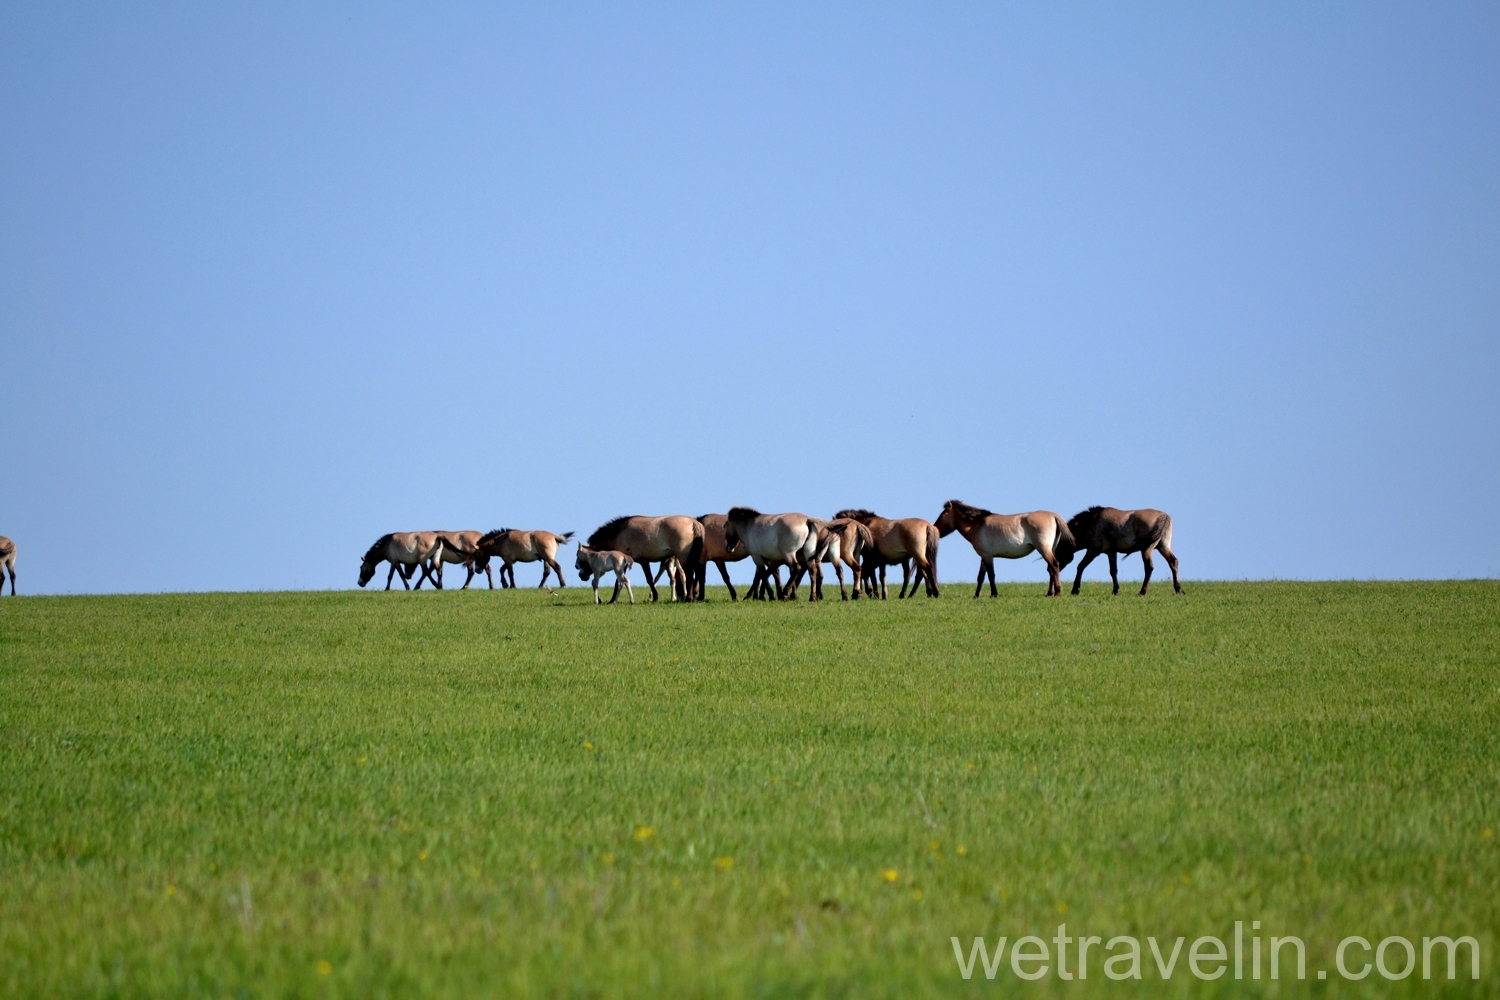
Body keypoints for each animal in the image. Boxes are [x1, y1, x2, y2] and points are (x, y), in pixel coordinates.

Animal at [936, 497, 1080, 599]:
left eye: (942, 515)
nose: (935, 530)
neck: (977, 525)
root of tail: (1053, 516)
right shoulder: (984, 556)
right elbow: (981, 576)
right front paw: (976, 595)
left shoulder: (988, 556)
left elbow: (991, 575)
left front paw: (994, 594)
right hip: (1050, 549)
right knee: (1051, 569)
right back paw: (1050, 593)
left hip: (1044, 549)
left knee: (1054, 566)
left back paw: (1057, 592)